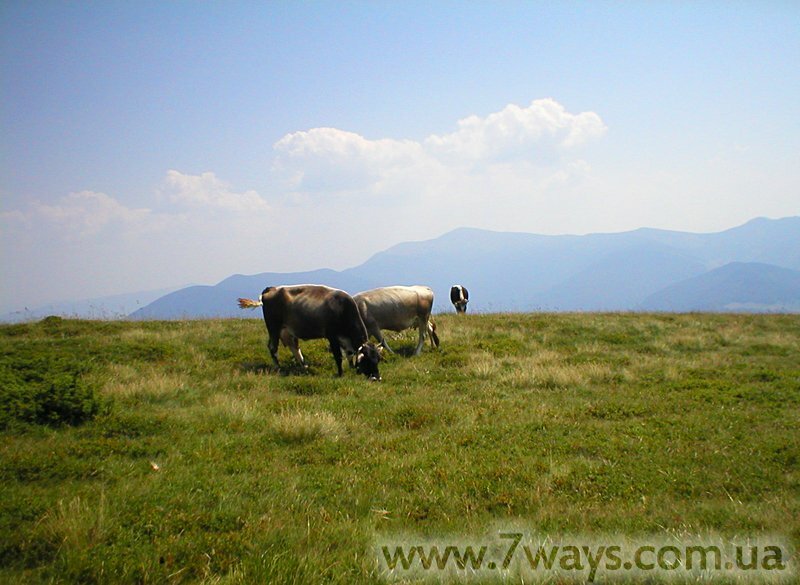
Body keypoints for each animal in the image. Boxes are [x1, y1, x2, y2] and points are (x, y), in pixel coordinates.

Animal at [237, 285, 382, 380]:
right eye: (367, 360)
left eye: (378, 359)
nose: (377, 378)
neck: (343, 309)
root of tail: (271, 288)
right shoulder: (332, 337)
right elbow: (339, 357)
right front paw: (340, 374)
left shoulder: (345, 340)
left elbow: (350, 355)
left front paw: (351, 368)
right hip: (273, 327)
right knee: (273, 348)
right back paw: (279, 368)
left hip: (287, 330)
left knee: (294, 347)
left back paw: (304, 366)